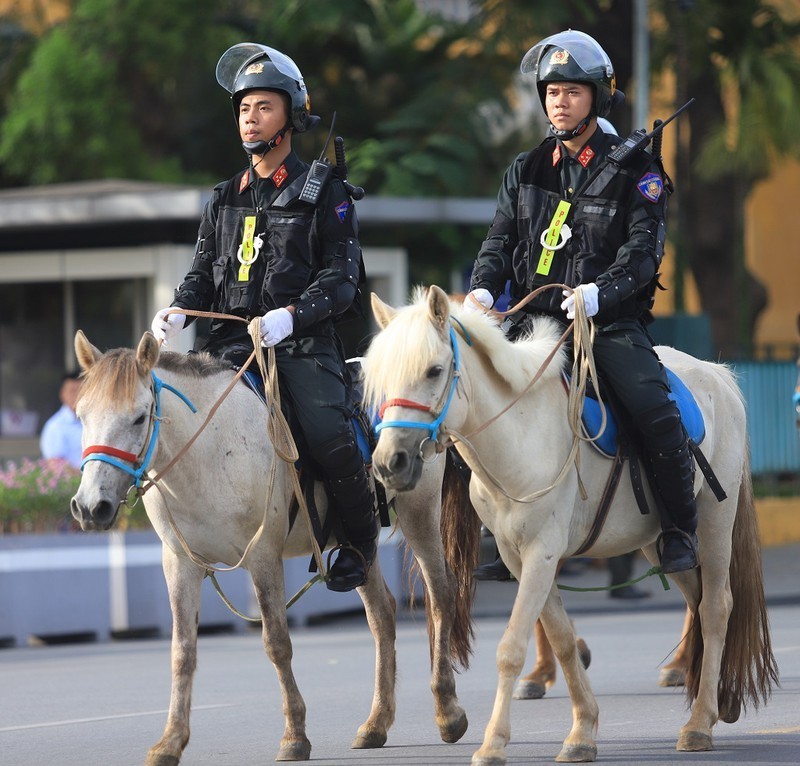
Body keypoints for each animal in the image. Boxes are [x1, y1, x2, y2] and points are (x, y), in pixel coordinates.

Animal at [72, 332, 478, 766]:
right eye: (81, 415)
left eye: (138, 417)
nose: (90, 507)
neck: (209, 448)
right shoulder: (180, 563)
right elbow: (182, 651)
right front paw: (169, 741)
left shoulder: (263, 556)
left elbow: (277, 644)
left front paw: (294, 735)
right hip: (358, 541)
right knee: (382, 613)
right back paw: (376, 723)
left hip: (420, 512)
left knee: (441, 596)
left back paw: (447, 712)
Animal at [366, 290, 780, 766]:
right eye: (381, 377)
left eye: (434, 370)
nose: (389, 462)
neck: (520, 434)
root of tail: (719, 375)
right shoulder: (519, 557)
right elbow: (562, 640)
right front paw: (583, 730)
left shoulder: (542, 552)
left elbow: (511, 648)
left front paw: (493, 743)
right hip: (660, 541)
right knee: (697, 599)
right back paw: (719, 699)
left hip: (713, 524)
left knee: (715, 607)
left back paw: (699, 723)